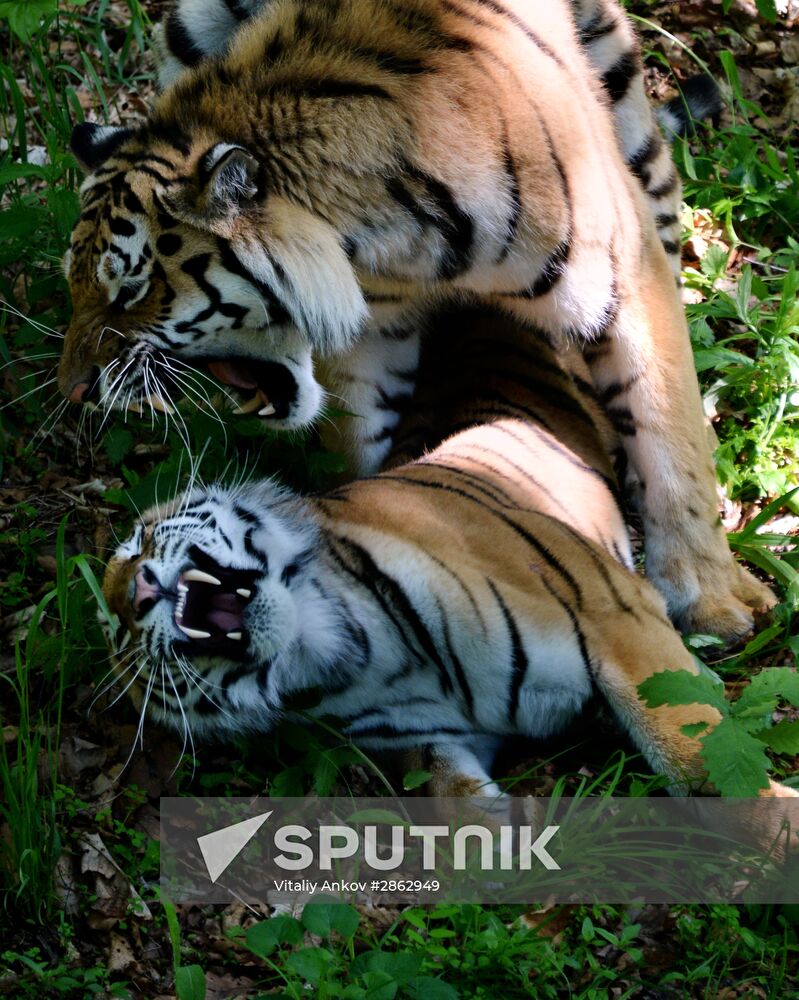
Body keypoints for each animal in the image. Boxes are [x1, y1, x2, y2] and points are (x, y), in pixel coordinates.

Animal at [57, 0, 776, 640]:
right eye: (76, 283)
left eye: (131, 289)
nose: (73, 389)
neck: (376, 247)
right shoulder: (374, 332)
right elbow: (360, 443)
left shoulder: (622, 269)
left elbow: (668, 438)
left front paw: (711, 600)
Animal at [103, 302, 796, 812]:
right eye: (120, 640)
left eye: (139, 538)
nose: (131, 593)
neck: (354, 654)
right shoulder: (437, 739)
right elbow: (454, 802)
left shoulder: (617, 615)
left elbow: (699, 756)